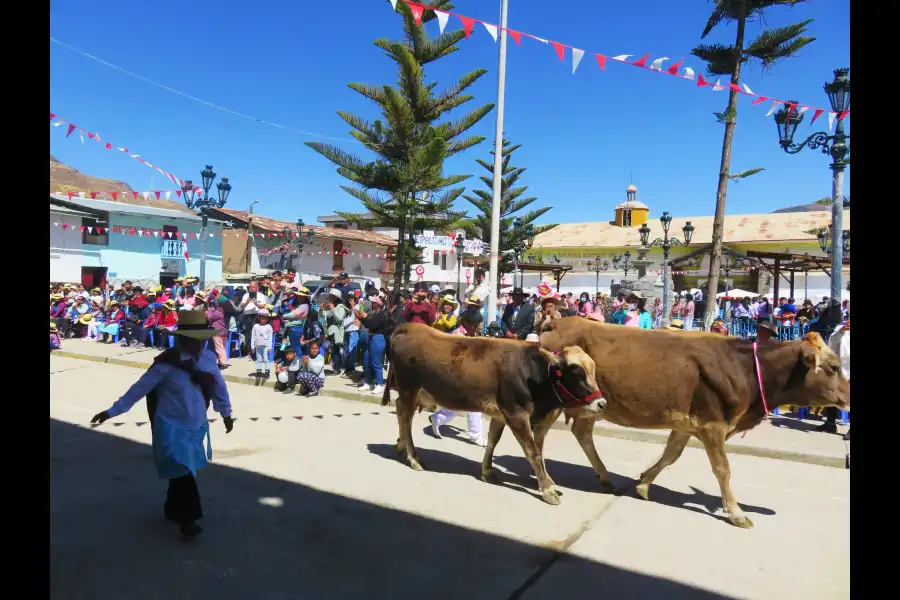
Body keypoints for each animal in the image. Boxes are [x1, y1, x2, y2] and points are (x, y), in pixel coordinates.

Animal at [384, 326, 608, 504]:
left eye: (593, 369)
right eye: (575, 371)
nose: (602, 403)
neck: (532, 374)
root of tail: (410, 327)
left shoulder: (501, 415)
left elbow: (493, 440)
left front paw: (487, 470)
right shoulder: (516, 415)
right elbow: (533, 451)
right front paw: (547, 489)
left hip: (411, 394)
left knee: (401, 413)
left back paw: (400, 445)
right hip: (409, 389)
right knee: (406, 419)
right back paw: (414, 458)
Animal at [540, 316, 852, 528]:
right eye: (835, 366)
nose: (850, 396)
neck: (746, 369)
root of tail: (557, 321)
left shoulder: (686, 424)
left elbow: (671, 455)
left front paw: (643, 484)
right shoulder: (713, 425)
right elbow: (722, 469)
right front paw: (736, 512)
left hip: (590, 406)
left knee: (581, 432)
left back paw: (604, 478)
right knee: (539, 435)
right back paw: (548, 483)